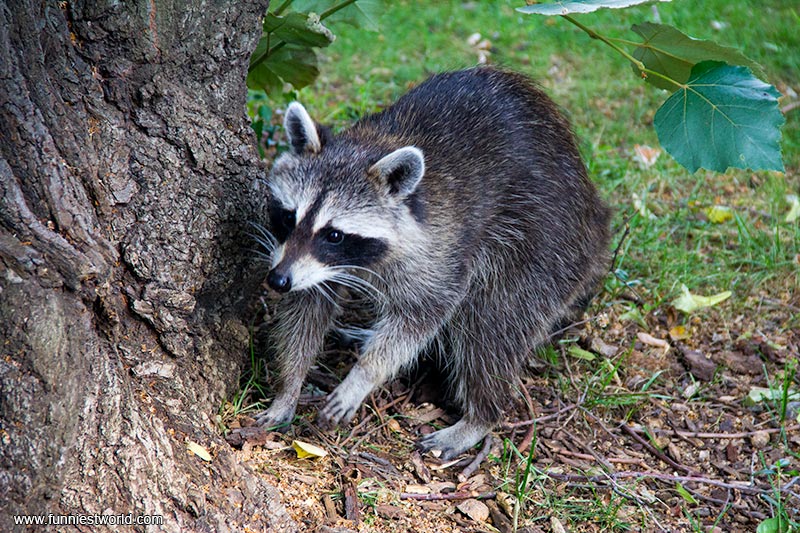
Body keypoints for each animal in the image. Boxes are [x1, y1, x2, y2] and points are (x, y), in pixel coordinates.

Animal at [256, 65, 612, 458]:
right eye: (289, 217)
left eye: (334, 234)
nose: (277, 281)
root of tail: (596, 220)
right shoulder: (308, 265)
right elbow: (305, 310)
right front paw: (289, 385)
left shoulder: (442, 249)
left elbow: (422, 315)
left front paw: (364, 375)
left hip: (544, 244)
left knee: (493, 324)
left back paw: (481, 415)